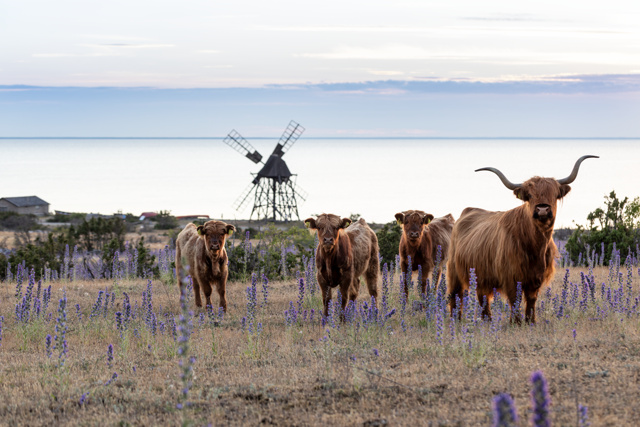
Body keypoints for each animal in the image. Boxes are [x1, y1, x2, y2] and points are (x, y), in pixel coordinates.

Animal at [446, 155, 597, 324]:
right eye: (530, 196)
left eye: (554, 194)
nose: (542, 209)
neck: (535, 245)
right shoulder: (511, 276)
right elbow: (515, 299)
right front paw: (516, 322)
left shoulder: (536, 277)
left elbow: (531, 300)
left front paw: (531, 321)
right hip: (454, 271)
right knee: (456, 295)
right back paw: (455, 319)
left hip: (481, 275)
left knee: (482, 297)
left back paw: (487, 320)